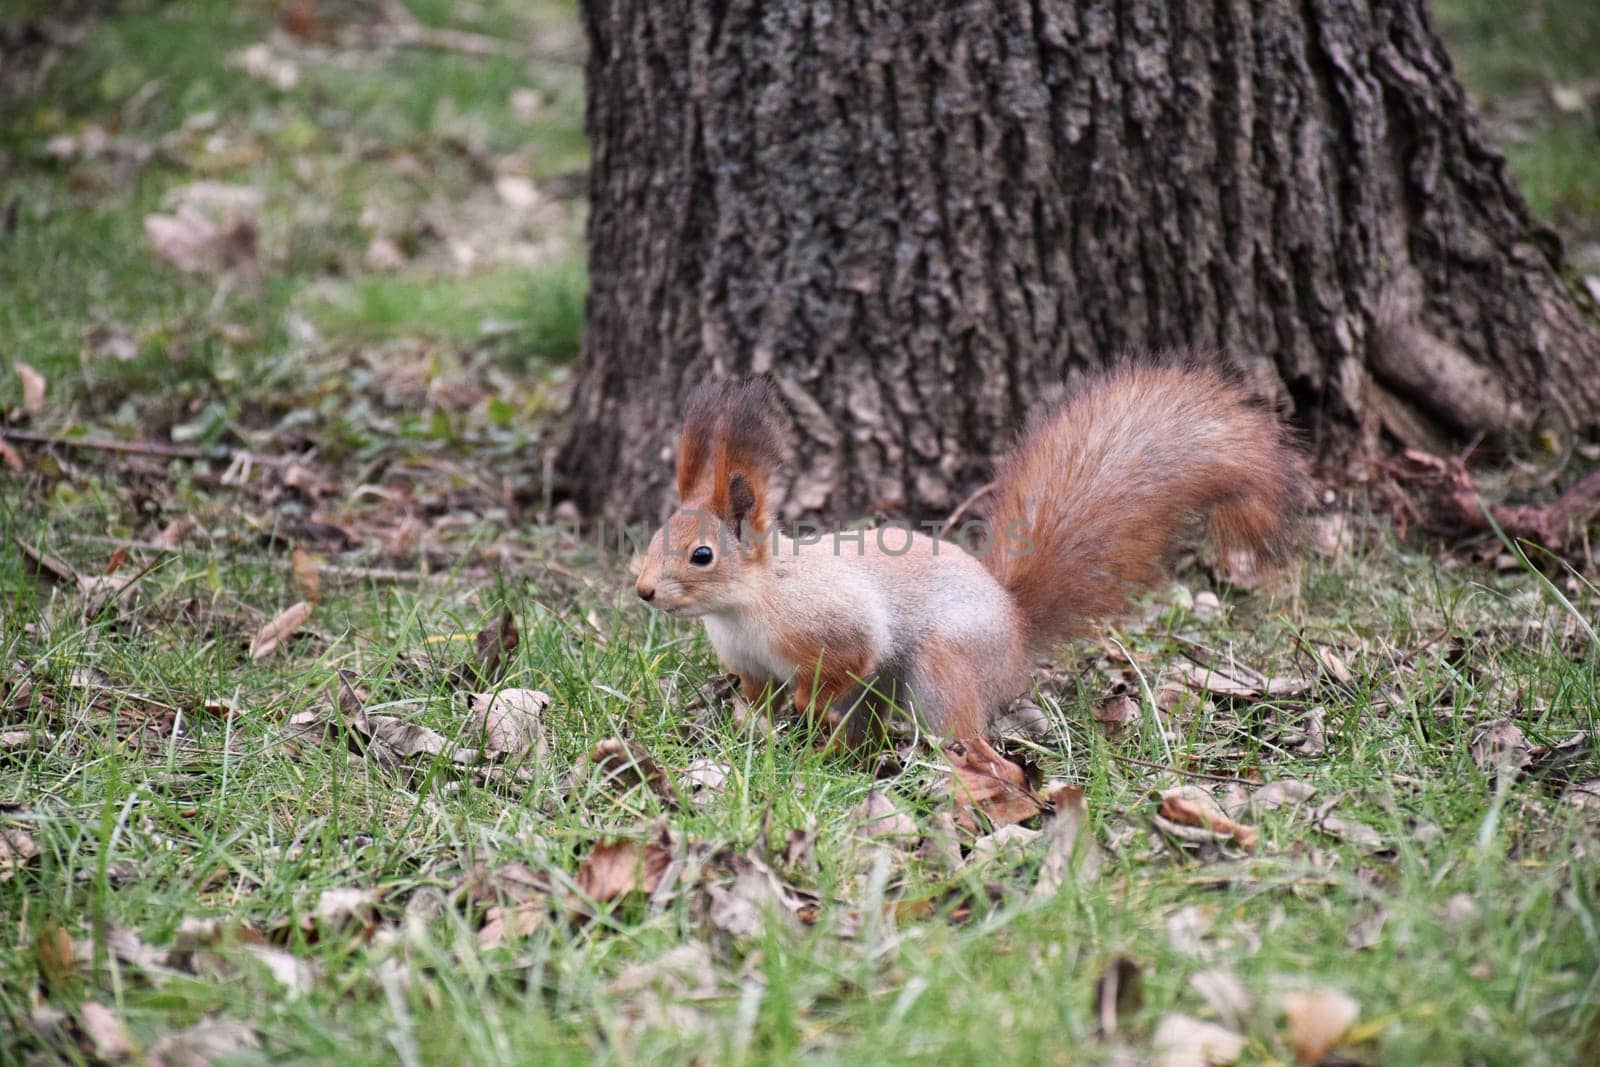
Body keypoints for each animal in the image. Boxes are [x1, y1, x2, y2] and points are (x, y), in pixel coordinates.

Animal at [630, 363, 1305, 739]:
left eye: (701, 556)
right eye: (653, 538)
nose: (643, 592)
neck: (747, 604)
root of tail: (1017, 627)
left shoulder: (833, 623)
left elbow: (847, 658)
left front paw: (802, 703)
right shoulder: (748, 661)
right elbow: (754, 691)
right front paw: (753, 718)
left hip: (944, 664)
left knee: (961, 724)